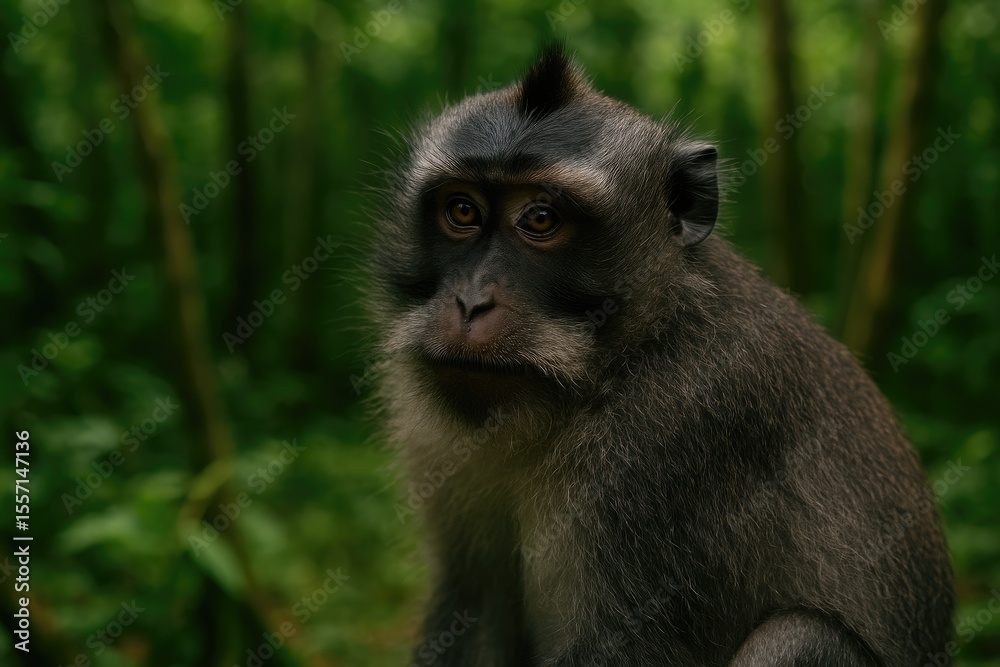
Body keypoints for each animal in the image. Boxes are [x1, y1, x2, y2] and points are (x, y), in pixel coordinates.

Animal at [365, 46, 953, 666]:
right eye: (461, 211)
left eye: (541, 219)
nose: (472, 301)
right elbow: (473, 607)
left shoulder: (665, 441)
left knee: (802, 635)